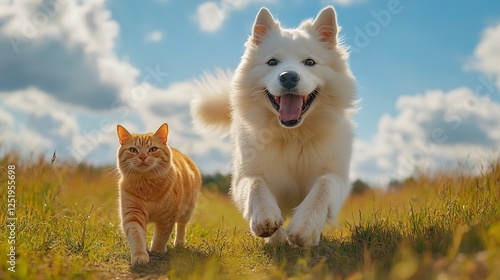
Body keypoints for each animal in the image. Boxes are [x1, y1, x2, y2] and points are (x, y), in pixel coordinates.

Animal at [116, 122, 201, 264]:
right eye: (133, 150)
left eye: (153, 149)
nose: (143, 157)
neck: (147, 186)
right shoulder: (133, 214)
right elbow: (136, 237)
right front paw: (140, 256)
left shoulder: (167, 217)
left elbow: (161, 237)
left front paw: (157, 251)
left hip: (187, 211)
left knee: (181, 226)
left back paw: (179, 243)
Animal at [190, 6, 356, 247]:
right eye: (272, 62)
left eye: (309, 62)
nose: (288, 77)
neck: (292, 136)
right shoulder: (244, 175)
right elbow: (256, 185)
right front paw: (265, 221)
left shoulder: (336, 176)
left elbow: (322, 188)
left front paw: (304, 228)